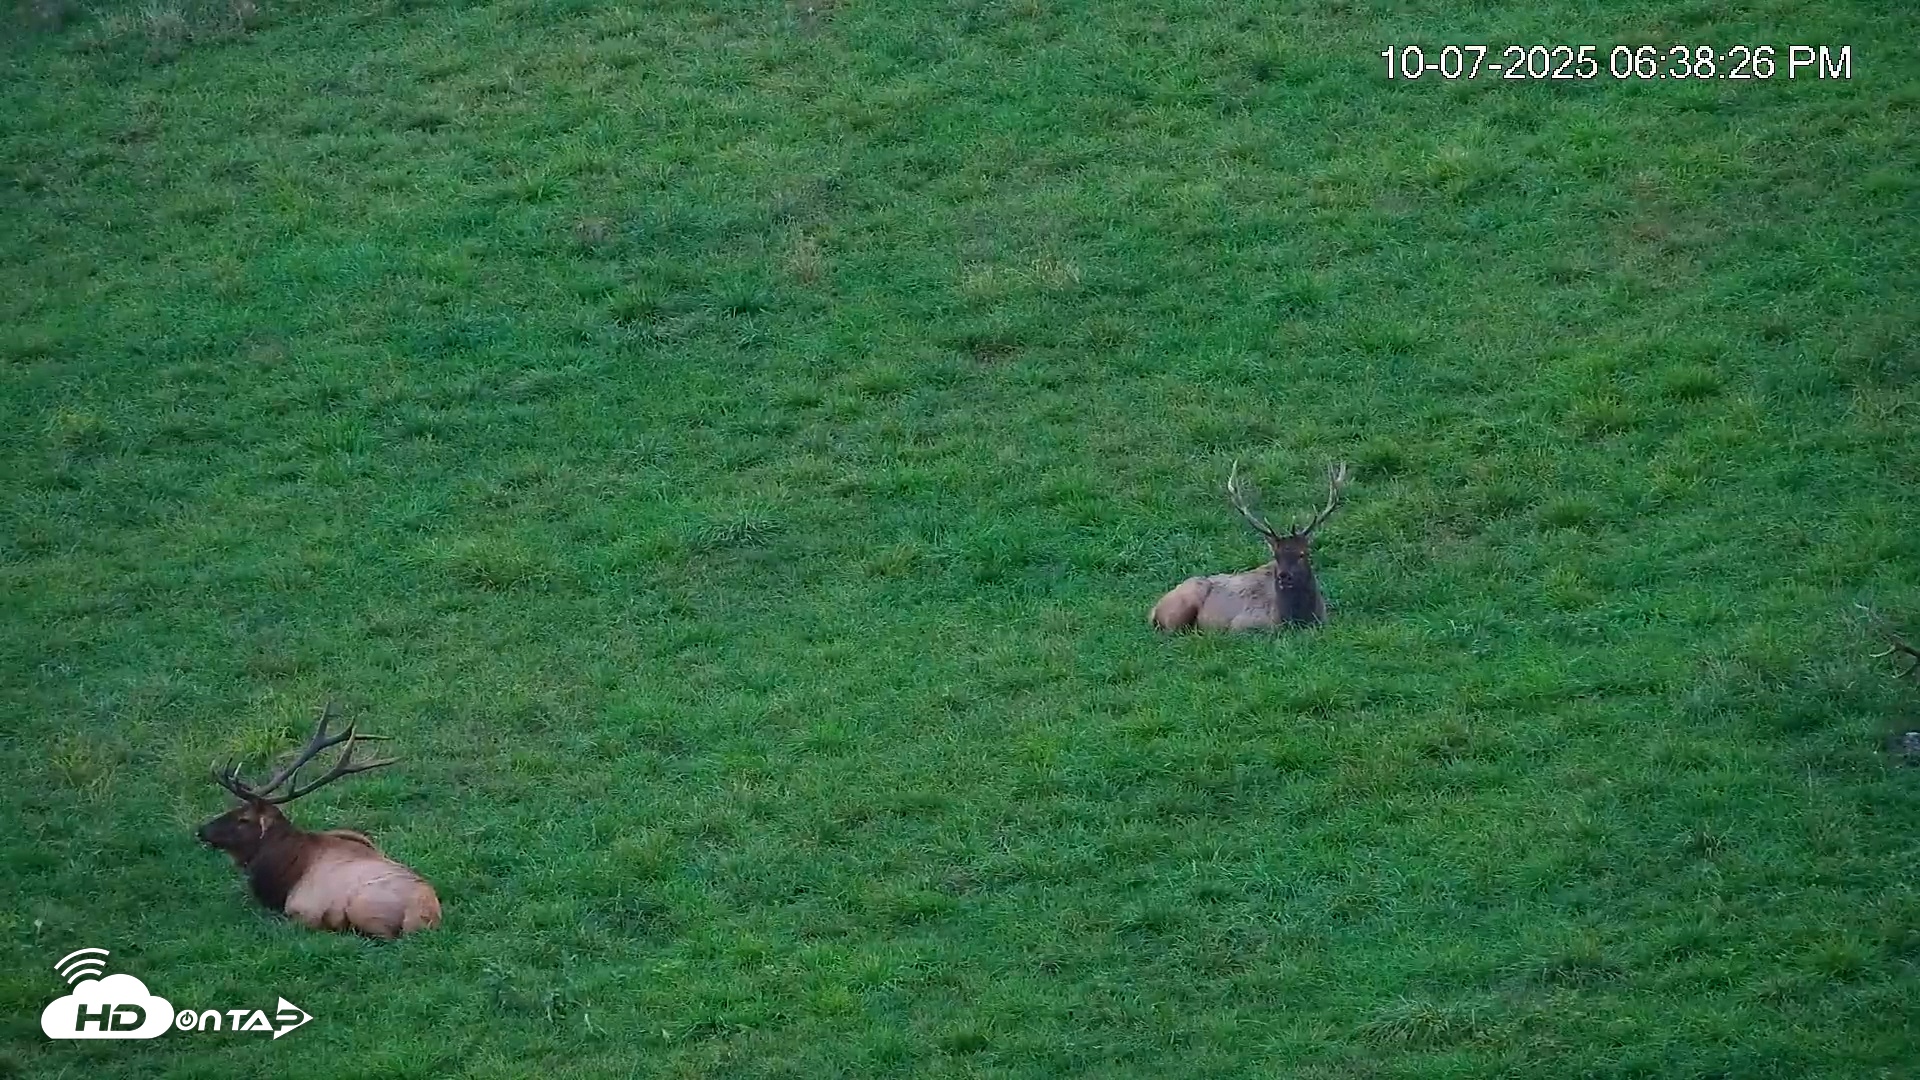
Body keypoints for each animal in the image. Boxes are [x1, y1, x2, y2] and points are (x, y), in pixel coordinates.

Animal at [1151, 459, 1351, 632]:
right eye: (1276, 556)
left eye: (1302, 553)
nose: (1284, 576)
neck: (1296, 618)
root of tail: (1153, 611)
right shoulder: (1242, 624)